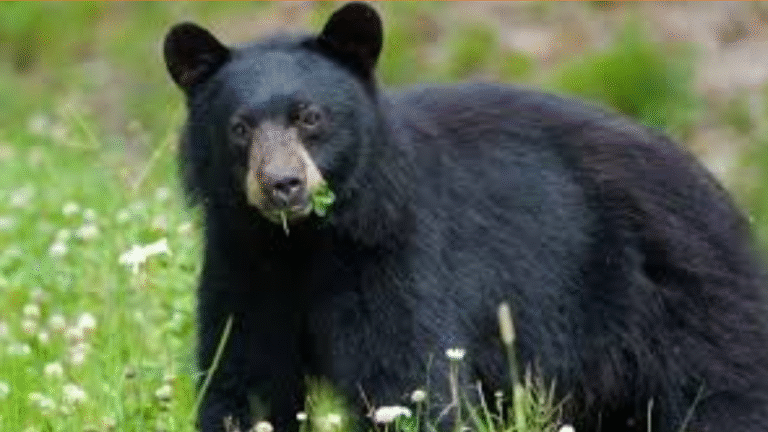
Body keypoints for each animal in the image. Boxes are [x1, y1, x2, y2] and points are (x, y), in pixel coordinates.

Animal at [163, 3, 768, 432]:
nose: (282, 185)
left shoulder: (399, 256)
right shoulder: (243, 263)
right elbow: (244, 379)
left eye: (310, 117)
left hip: (686, 305)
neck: (305, 243)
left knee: (724, 396)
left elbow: (409, 379)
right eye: (239, 127)